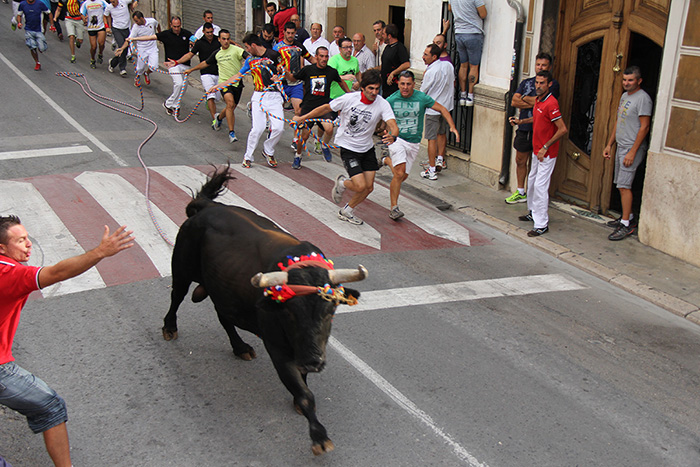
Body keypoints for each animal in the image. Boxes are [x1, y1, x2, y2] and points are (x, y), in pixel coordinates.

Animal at [159, 166, 366, 456]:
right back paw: (170, 327)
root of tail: (207, 206)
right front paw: (319, 436)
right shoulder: (277, 348)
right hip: (182, 267)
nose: (314, 361)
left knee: (223, 316)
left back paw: (240, 347)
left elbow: (303, 383)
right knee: (176, 296)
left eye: (330, 310)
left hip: (223, 288)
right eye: (289, 312)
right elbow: (305, 394)